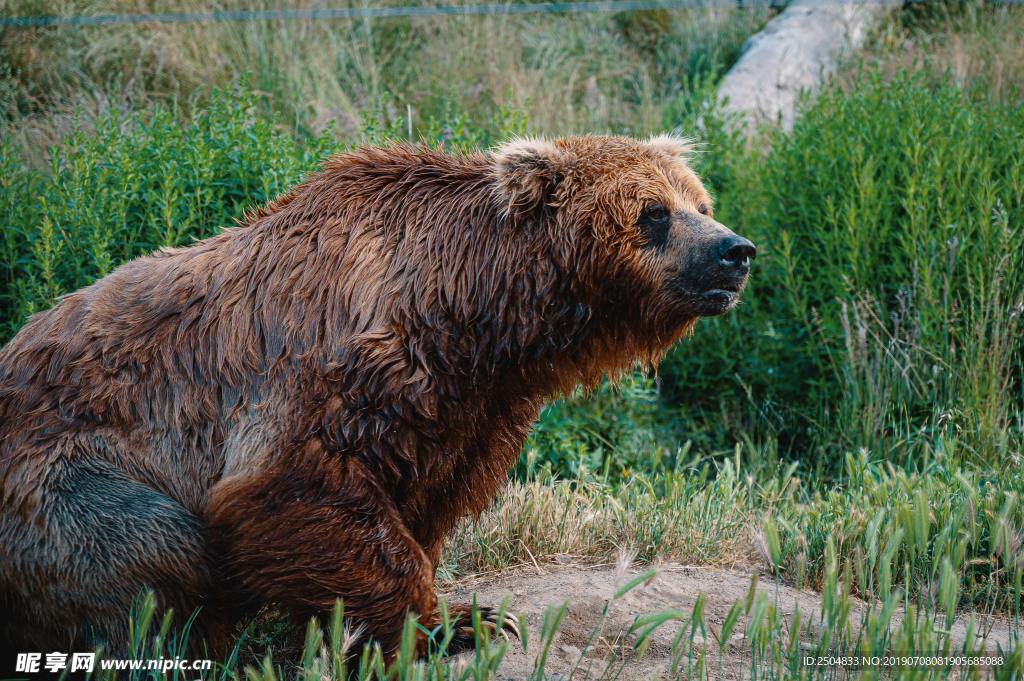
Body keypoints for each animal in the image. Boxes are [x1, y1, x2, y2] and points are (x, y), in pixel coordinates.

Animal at [0, 135, 755, 663]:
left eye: (701, 202)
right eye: (653, 213)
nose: (734, 250)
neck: (475, 314)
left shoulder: (472, 408)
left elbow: (423, 502)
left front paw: (444, 618)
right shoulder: (336, 367)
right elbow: (297, 488)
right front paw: (458, 625)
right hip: (61, 479)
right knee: (154, 546)